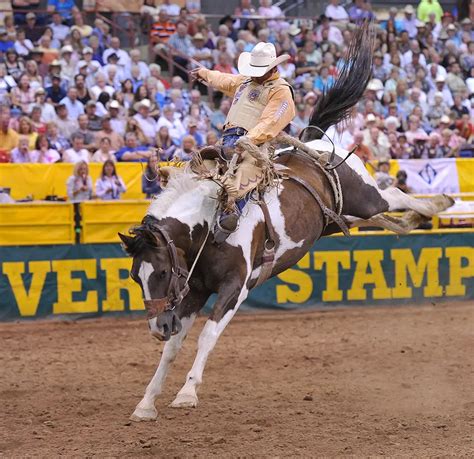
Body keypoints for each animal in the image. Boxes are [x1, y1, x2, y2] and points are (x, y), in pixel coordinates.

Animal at [118, 25, 452, 422]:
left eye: (162, 273)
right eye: (135, 276)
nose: (157, 327)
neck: (209, 227)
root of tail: (314, 142)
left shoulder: (236, 286)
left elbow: (208, 336)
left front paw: (187, 393)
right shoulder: (194, 290)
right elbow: (174, 346)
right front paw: (146, 402)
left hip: (363, 195)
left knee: (394, 195)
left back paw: (438, 203)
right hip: (337, 218)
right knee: (385, 218)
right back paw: (416, 218)